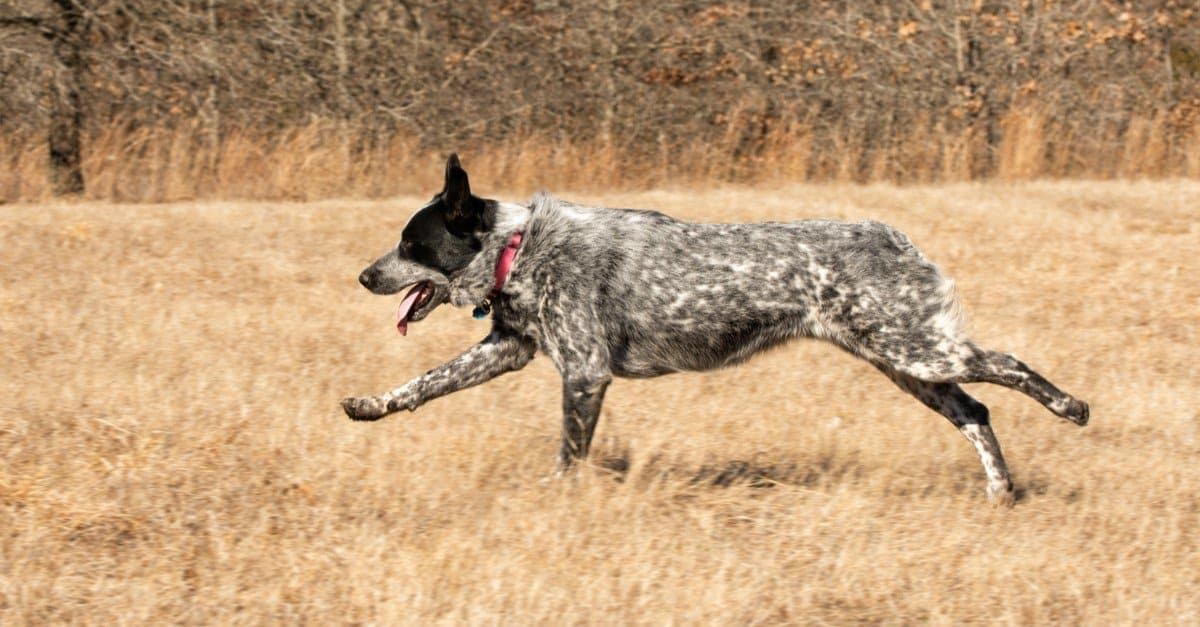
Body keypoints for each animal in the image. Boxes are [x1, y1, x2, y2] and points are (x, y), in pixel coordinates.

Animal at [343, 152, 1094, 502]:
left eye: (410, 243)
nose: (362, 276)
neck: (519, 248)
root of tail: (895, 238)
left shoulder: (583, 373)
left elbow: (569, 453)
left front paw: (557, 498)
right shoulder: (508, 348)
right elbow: (421, 383)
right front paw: (369, 405)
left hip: (917, 351)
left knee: (1010, 364)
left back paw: (1072, 407)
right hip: (907, 363)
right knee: (977, 411)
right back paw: (1000, 491)